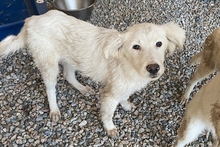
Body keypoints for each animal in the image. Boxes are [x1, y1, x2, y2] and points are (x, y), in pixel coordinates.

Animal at [0, 10, 186, 137]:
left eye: (159, 44)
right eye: (136, 47)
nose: (153, 68)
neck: (128, 64)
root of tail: (32, 19)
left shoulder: (123, 87)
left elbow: (124, 97)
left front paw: (126, 105)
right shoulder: (110, 94)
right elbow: (108, 113)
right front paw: (110, 128)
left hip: (71, 59)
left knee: (68, 76)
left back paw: (83, 89)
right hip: (48, 63)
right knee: (50, 88)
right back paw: (54, 109)